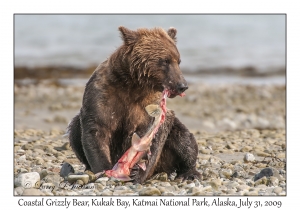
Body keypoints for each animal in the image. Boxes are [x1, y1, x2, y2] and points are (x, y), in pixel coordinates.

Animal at [67, 26, 200, 184]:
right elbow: (96, 130)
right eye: (165, 61)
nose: (182, 86)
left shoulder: (149, 107)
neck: (133, 85)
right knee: (75, 128)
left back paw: (189, 173)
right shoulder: (102, 95)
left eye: (178, 61)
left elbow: (151, 140)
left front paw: (137, 173)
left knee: (184, 140)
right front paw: (104, 170)